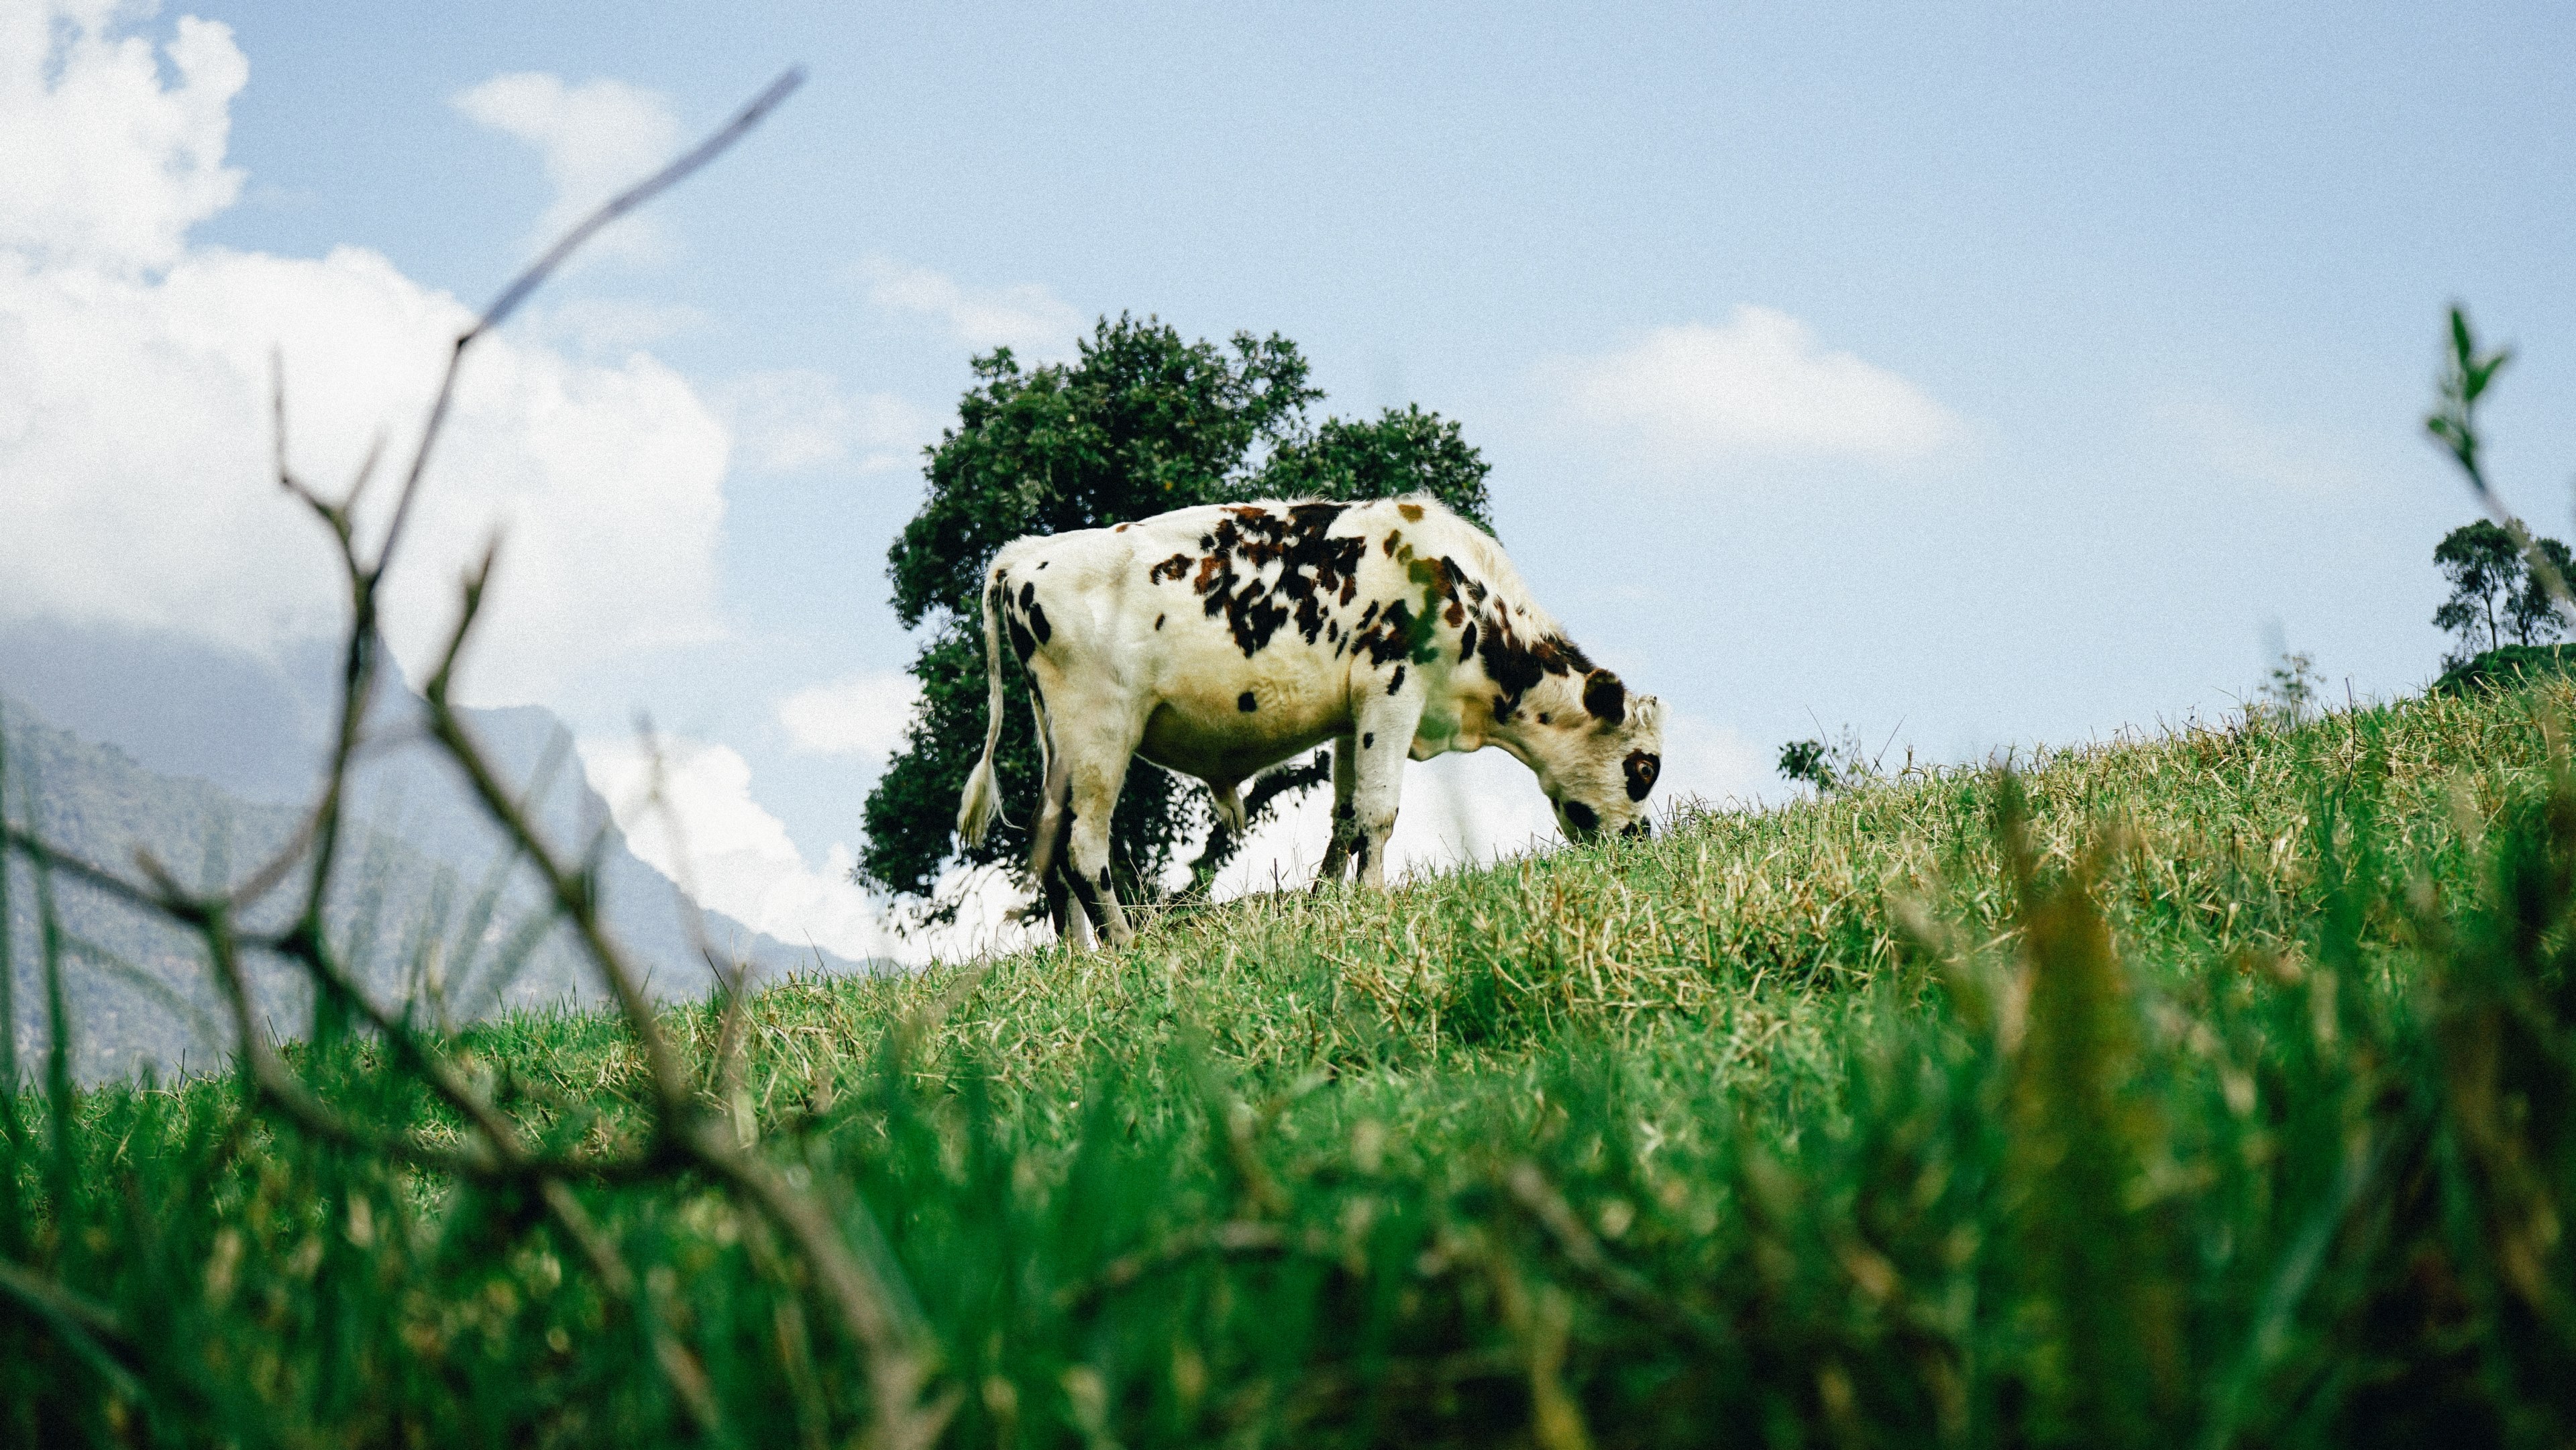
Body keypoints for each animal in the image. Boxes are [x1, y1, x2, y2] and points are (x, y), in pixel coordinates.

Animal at [955, 495, 1665, 947]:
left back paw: (1078, 958)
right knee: (1083, 845)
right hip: (1099, 730)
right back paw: (1124, 946)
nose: (1642, 842)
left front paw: (1327, 903)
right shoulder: (1392, 688)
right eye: (1644, 768)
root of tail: (1027, 554)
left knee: (1048, 841)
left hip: (1059, 741)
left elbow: (1346, 816)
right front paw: (1375, 903)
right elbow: (1379, 811)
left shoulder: (1355, 715)